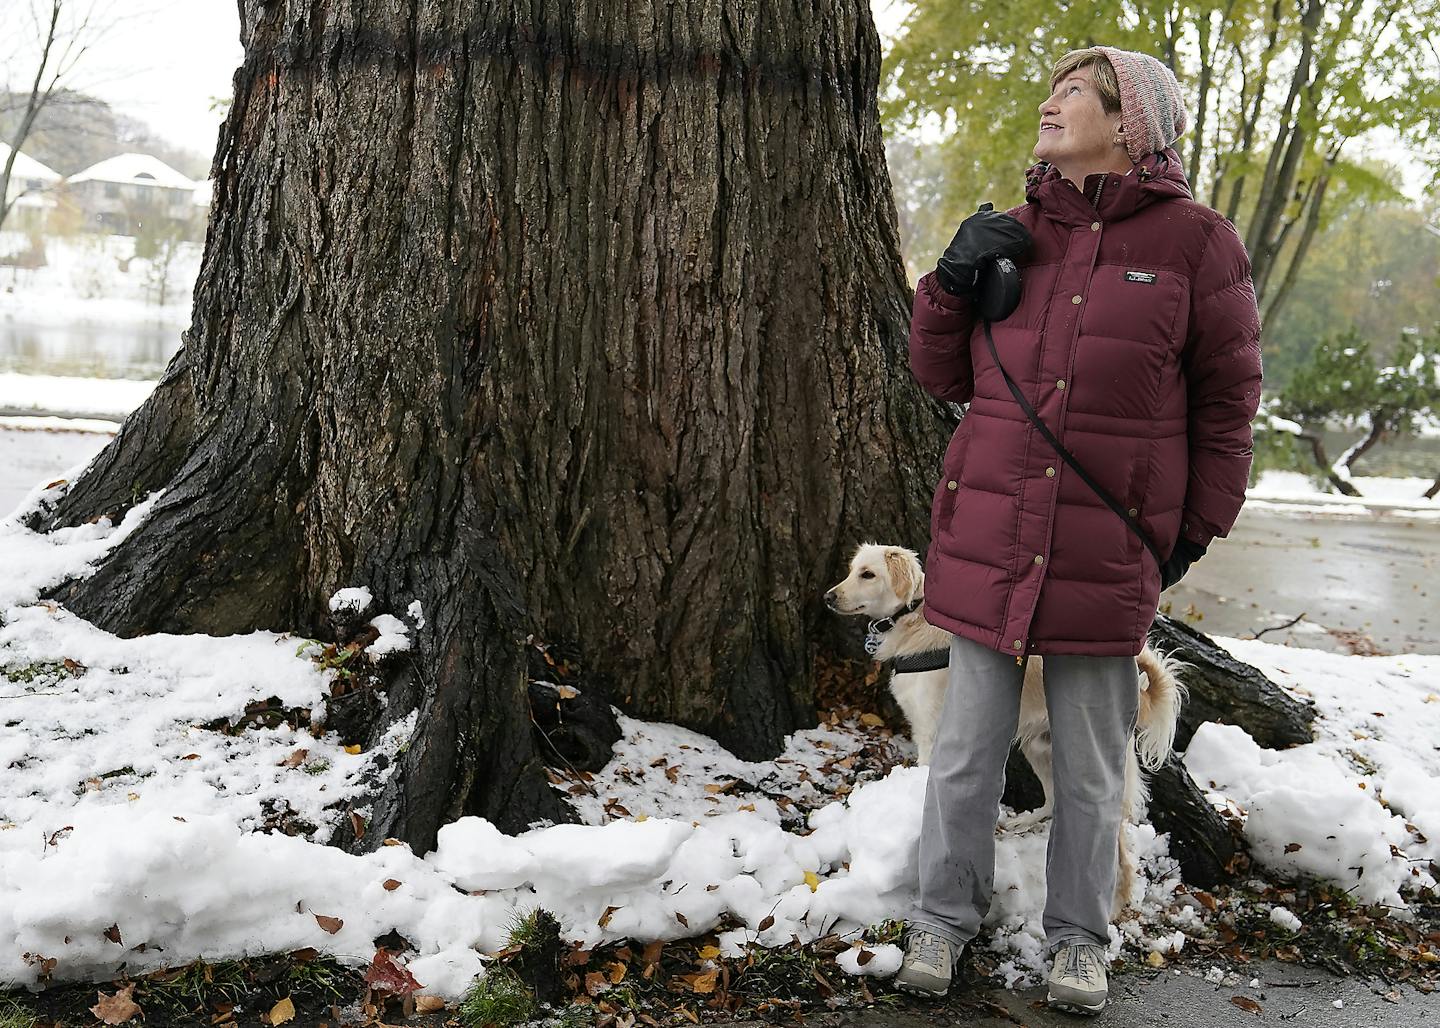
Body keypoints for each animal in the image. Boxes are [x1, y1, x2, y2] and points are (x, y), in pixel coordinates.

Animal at [829, 541, 1186, 909]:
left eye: (868, 574)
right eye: (852, 570)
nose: (828, 597)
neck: (911, 620)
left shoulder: (931, 733)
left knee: (1119, 851)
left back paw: (1119, 904)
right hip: (1038, 748)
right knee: (1053, 801)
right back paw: (1024, 822)